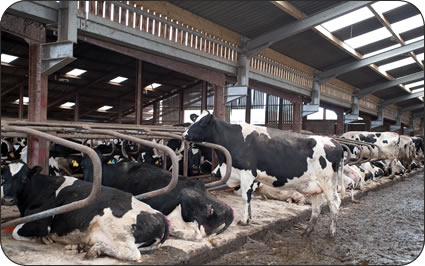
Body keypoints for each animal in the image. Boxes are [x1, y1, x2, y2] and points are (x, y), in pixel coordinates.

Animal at [1, 161, 171, 260]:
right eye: (3, 178)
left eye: (23, 179)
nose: (7, 200)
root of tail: (159, 215)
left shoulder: (41, 222)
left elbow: (16, 232)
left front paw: (41, 239)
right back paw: (84, 247)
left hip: (118, 228)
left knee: (132, 253)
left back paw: (96, 250)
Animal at [182, 110, 344, 237]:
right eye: (194, 120)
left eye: (203, 123)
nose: (184, 135)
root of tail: (335, 143)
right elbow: (249, 198)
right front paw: (249, 218)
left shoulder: (247, 173)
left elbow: (244, 197)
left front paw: (243, 221)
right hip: (315, 186)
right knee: (317, 207)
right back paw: (307, 231)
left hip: (328, 182)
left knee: (334, 203)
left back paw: (331, 233)